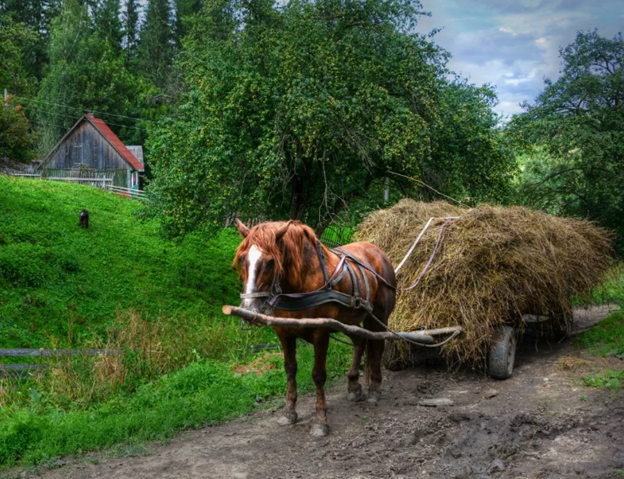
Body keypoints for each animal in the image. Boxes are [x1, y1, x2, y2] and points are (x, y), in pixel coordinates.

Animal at [234, 219, 394, 436]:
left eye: (270, 262)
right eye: (242, 259)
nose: (248, 309)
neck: (302, 283)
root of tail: (378, 251)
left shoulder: (321, 333)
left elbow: (318, 375)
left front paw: (321, 421)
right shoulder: (284, 333)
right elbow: (290, 369)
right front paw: (289, 412)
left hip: (378, 317)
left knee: (377, 345)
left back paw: (374, 389)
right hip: (348, 321)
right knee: (360, 340)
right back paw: (353, 385)